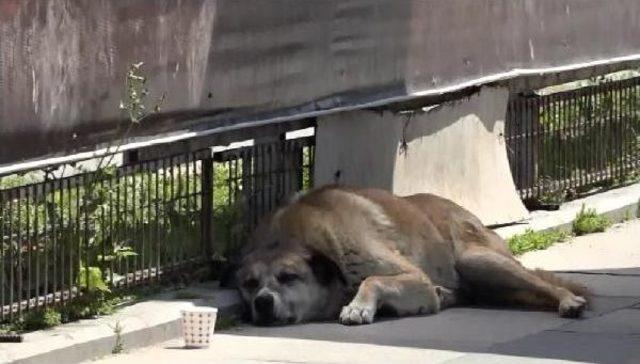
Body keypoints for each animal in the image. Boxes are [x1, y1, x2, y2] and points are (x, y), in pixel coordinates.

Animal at [235, 186, 584, 326]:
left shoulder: (417, 279)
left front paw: (358, 307)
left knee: (547, 284)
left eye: (288, 277)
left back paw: (569, 300)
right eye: (249, 284)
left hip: (478, 261)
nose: (262, 303)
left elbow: (374, 280)